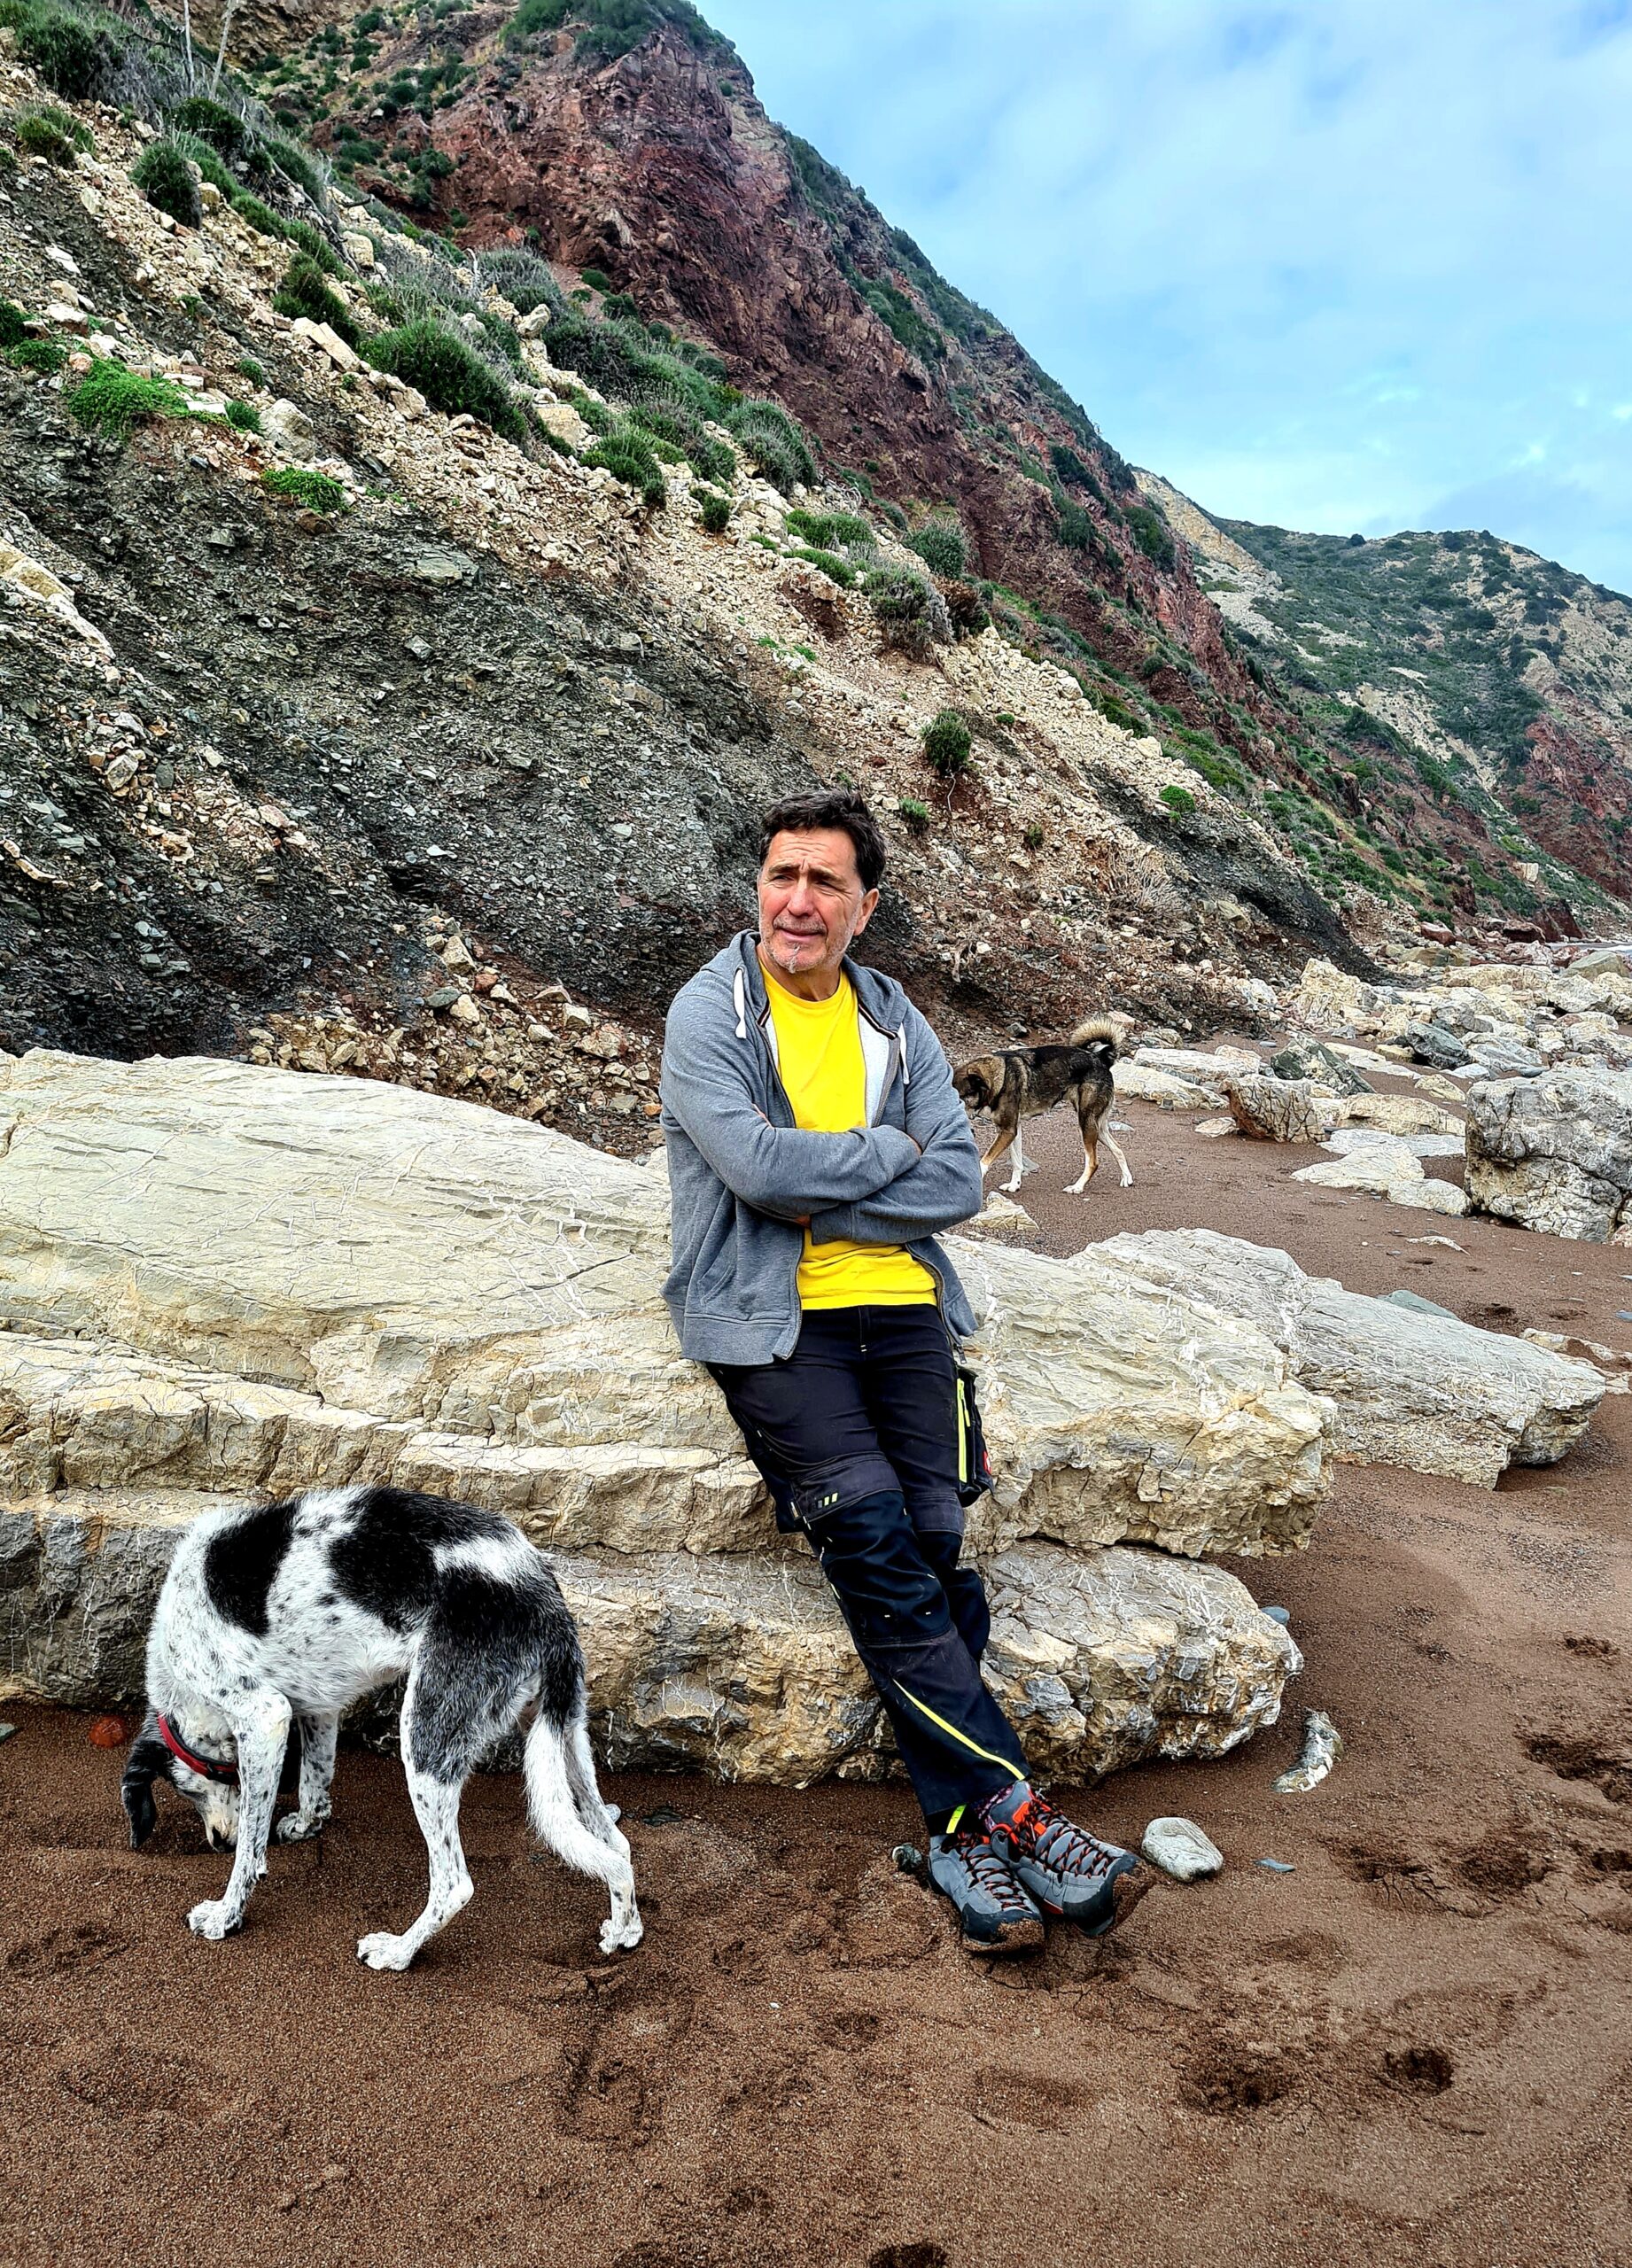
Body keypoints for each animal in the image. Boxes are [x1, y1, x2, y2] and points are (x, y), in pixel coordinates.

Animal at [121, 1484, 641, 1971]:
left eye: (191, 1788)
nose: (217, 1843)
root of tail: (545, 1599)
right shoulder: (316, 1708)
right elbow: (315, 1782)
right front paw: (306, 1826)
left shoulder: (264, 1716)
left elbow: (251, 1846)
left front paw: (227, 1915)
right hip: (562, 1729)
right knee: (615, 1844)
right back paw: (625, 1930)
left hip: (427, 1738)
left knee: (454, 1884)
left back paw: (397, 1952)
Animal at [952, 1017, 1131, 1197]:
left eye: (957, 1096)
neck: (999, 1079)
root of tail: (1100, 1059)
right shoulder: (1012, 1130)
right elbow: (1017, 1162)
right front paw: (1014, 1185)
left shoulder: (1008, 1130)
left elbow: (984, 1161)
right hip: (1097, 1126)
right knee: (1118, 1148)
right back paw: (1126, 1178)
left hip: (1086, 1122)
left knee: (1093, 1162)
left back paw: (1077, 1187)